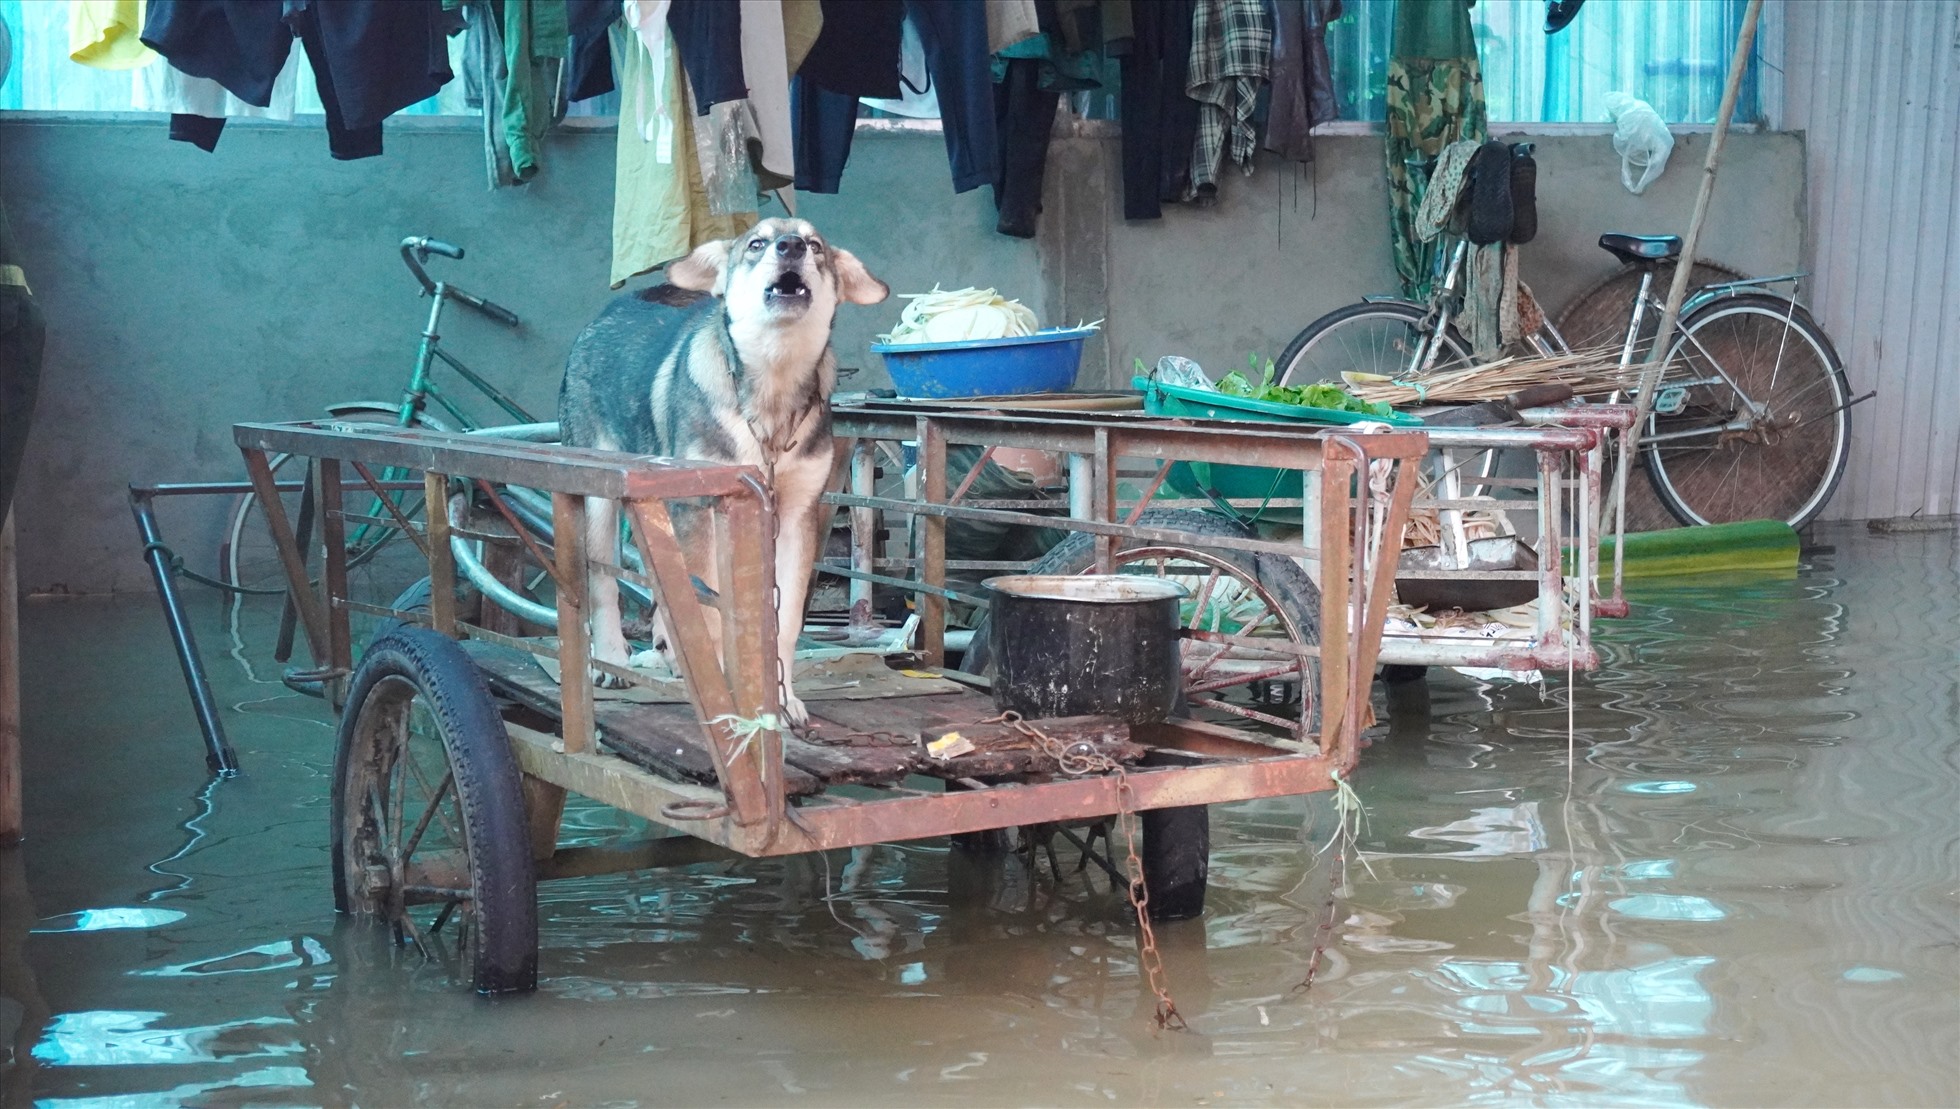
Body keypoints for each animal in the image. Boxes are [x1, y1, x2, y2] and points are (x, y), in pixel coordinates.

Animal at [556, 217, 885, 728]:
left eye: (815, 245)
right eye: (757, 243)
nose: (790, 246)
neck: (771, 385)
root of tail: (614, 306)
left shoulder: (795, 516)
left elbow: (785, 619)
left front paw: (782, 698)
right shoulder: (695, 505)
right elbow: (705, 613)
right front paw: (723, 692)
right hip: (601, 497)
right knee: (604, 582)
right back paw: (611, 660)